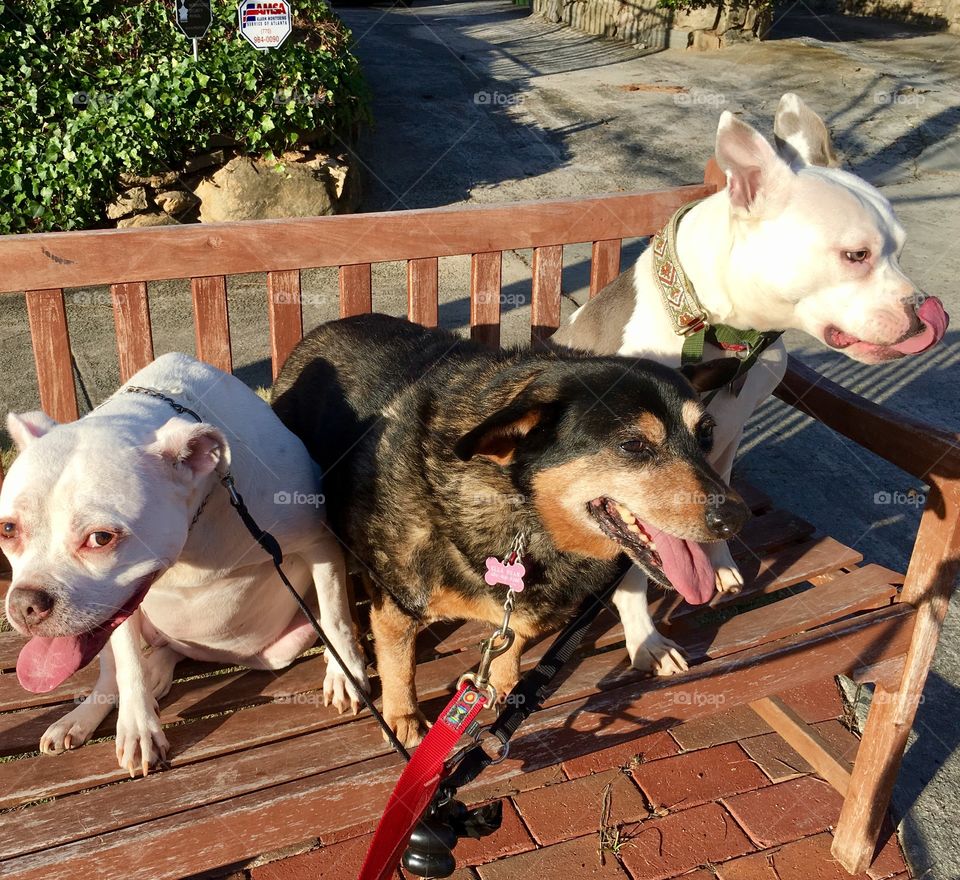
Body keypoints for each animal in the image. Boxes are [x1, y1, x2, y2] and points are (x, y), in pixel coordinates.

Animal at [270, 312, 752, 744]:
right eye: (632, 444)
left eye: (706, 434)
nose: (734, 518)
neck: (523, 513)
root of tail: (320, 331)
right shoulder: (397, 604)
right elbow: (398, 665)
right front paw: (403, 718)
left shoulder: (523, 606)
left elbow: (514, 639)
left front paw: (499, 686)